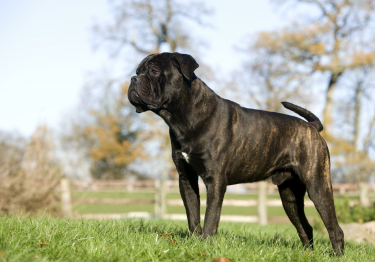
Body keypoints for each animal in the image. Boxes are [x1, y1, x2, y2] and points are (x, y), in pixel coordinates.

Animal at [128, 52, 346, 256]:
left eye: (154, 71)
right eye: (138, 71)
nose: (133, 79)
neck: (183, 117)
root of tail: (312, 127)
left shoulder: (215, 181)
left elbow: (210, 218)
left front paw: (205, 245)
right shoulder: (186, 178)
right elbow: (193, 215)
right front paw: (195, 242)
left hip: (317, 186)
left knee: (335, 228)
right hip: (289, 195)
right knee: (305, 227)